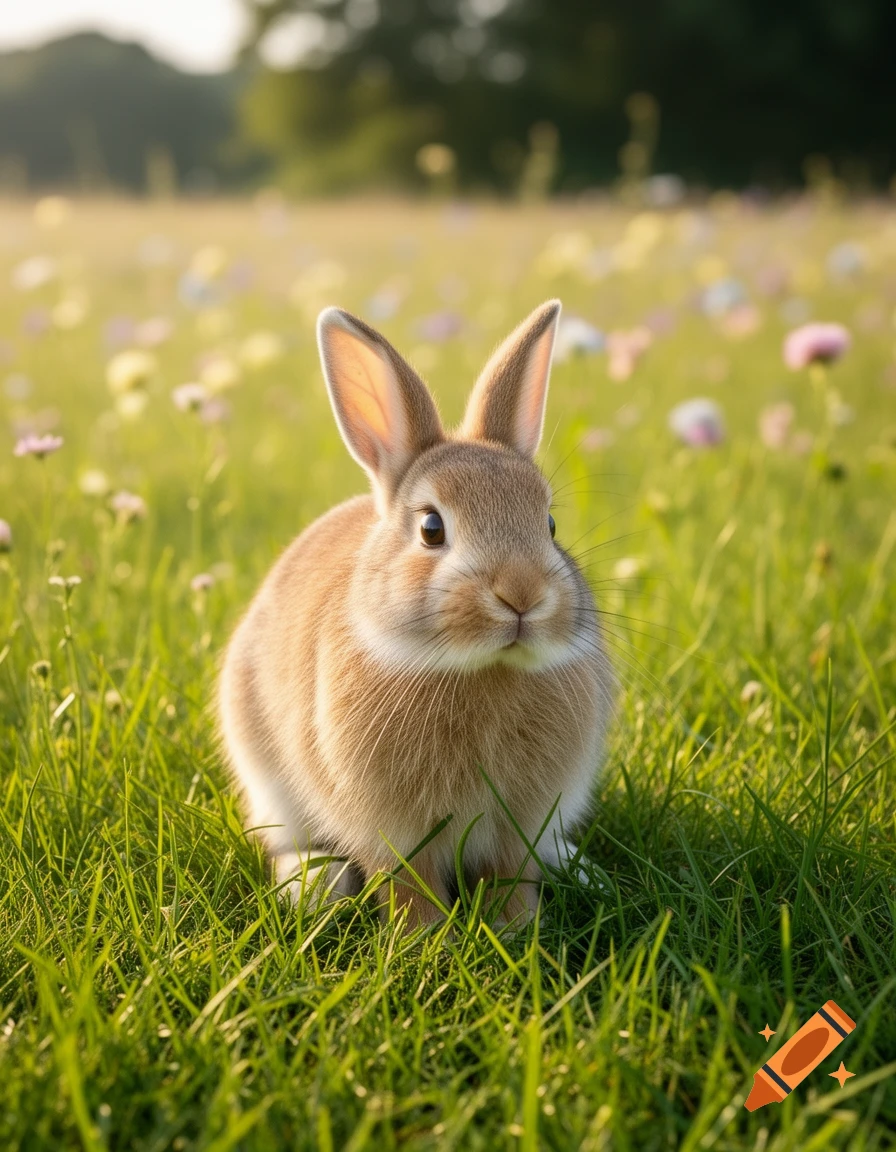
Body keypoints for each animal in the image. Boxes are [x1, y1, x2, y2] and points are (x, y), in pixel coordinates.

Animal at [219, 299, 614, 929]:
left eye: (550, 525)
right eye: (431, 528)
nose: (522, 595)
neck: (480, 671)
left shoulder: (519, 826)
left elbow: (512, 874)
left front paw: (515, 928)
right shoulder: (393, 830)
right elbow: (409, 882)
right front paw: (423, 936)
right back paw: (313, 884)